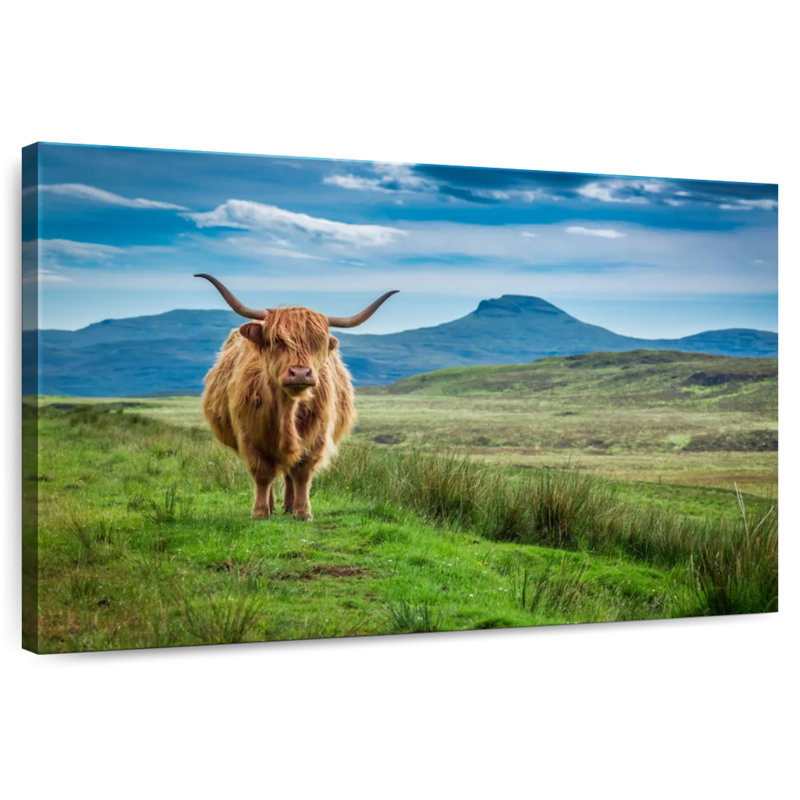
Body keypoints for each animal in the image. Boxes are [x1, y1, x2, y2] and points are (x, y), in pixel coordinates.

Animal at [195, 273, 398, 521]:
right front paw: (260, 512)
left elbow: (301, 472)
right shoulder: (249, 435)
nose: (300, 373)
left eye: (318, 342)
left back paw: (289, 506)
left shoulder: (317, 436)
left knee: (290, 473)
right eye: (278, 340)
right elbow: (262, 474)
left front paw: (303, 512)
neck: (287, 410)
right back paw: (272, 505)